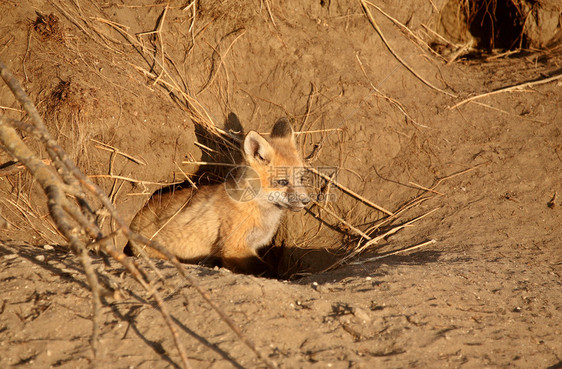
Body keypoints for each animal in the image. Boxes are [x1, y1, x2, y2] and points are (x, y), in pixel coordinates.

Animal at [126, 118, 308, 274]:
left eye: (300, 178)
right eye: (283, 182)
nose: (306, 201)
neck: (255, 206)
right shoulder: (234, 247)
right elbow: (266, 270)